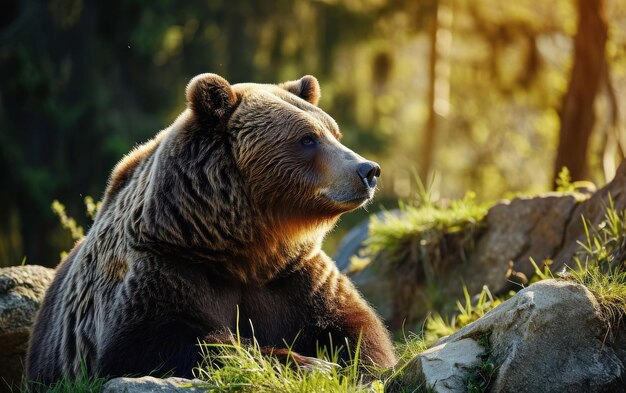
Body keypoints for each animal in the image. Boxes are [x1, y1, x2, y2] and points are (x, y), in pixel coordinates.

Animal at [25, 72, 394, 382]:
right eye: (307, 138)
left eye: (334, 132)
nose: (368, 170)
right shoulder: (165, 267)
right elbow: (157, 343)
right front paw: (309, 363)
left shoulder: (294, 274)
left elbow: (357, 327)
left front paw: (352, 362)